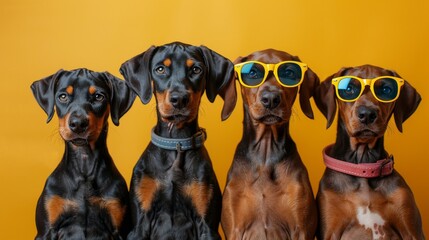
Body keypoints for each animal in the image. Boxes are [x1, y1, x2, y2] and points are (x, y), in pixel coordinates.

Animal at [31, 68, 135, 239]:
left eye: (99, 96)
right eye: (63, 96)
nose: (78, 124)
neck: (84, 161)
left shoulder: (119, 229)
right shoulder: (46, 230)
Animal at [118, 42, 236, 239]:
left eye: (196, 69)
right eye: (160, 69)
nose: (179, 99)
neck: (176, 143)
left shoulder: (207, 225)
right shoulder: (140, 224)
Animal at [222, 49, 320, 240]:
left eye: (289, 73)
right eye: (252, 73)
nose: (271, 98)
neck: (265, 154)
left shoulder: (300, 229)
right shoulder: (235, 229)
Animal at [312, 64, 422, 239]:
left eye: (386, 90)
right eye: (348, 88)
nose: (367, 114)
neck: (363, 166)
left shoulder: (411, 230)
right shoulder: (331, 228)